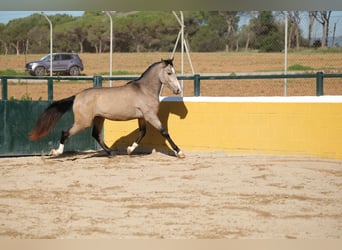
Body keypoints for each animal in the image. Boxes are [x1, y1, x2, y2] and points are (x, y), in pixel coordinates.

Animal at [28, 58, 184, 158]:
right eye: (169, 73)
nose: (178, 90)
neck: (144, 90)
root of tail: (77, 96)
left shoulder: (142, 117)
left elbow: (142, 132)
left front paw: (129, 149)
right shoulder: (150, 115)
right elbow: (164, 131)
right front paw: (179, 152)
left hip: (99, 118)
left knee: (96, 135)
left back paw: (111, 153)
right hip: (83, 122)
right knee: (66, 132)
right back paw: (56, 152)